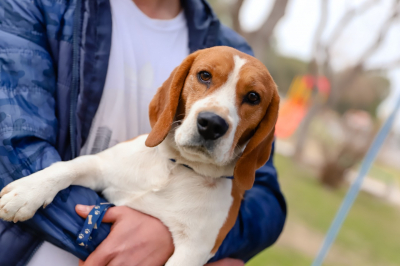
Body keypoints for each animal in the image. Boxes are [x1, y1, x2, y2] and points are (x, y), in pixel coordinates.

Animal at [0, 46, 280, 266]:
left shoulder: (192, 251)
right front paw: (26, 193)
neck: (177, 168)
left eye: (253, 97)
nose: (211, 124)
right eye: (204, 76)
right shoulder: (101, 167)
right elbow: (65, 168)